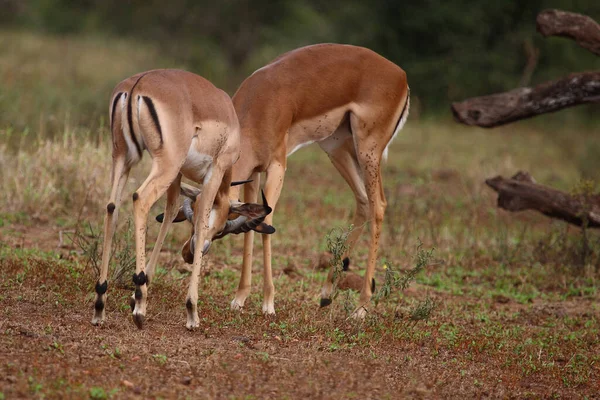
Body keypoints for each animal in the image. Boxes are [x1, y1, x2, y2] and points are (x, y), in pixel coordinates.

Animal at [91, 69, 274, 332]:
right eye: (221, 231)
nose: (188, 253)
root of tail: (137, 86)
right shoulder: (215, 173)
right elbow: (201, 219)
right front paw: (192, 312)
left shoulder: (179, 176)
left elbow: (169, 214)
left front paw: (137, 296)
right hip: (164, 163)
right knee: (140, 199)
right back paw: (139, 310)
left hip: (123, 157)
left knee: (111, 208)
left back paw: (100, 304)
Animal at [180, 44, 410, 318]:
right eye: (194, 216)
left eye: (219, 230)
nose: (188, 254)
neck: (261, 104)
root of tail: (401, 75)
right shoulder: (253, 173)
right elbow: (251, 227)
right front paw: (240, 297)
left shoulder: (278, 166)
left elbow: (267, 222)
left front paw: (269, 303)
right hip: (337, 147)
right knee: (363, 201)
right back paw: (326, 294)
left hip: (368, 151)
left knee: (379, 206)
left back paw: (361, 308)